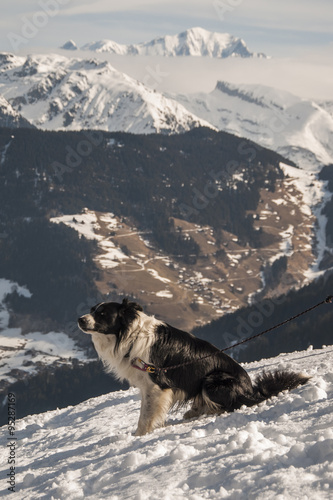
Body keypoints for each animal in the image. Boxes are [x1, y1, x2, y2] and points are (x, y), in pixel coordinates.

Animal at [78, 298, 308, 436]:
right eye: (92, 310)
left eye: (102, 314)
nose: (80, 319)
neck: (130, 335)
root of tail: (251, 390)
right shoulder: (148, 386)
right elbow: (146, 410)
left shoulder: (156, 384)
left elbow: (145, 416)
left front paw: (138, 436)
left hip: (213, 380)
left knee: (231, 403)